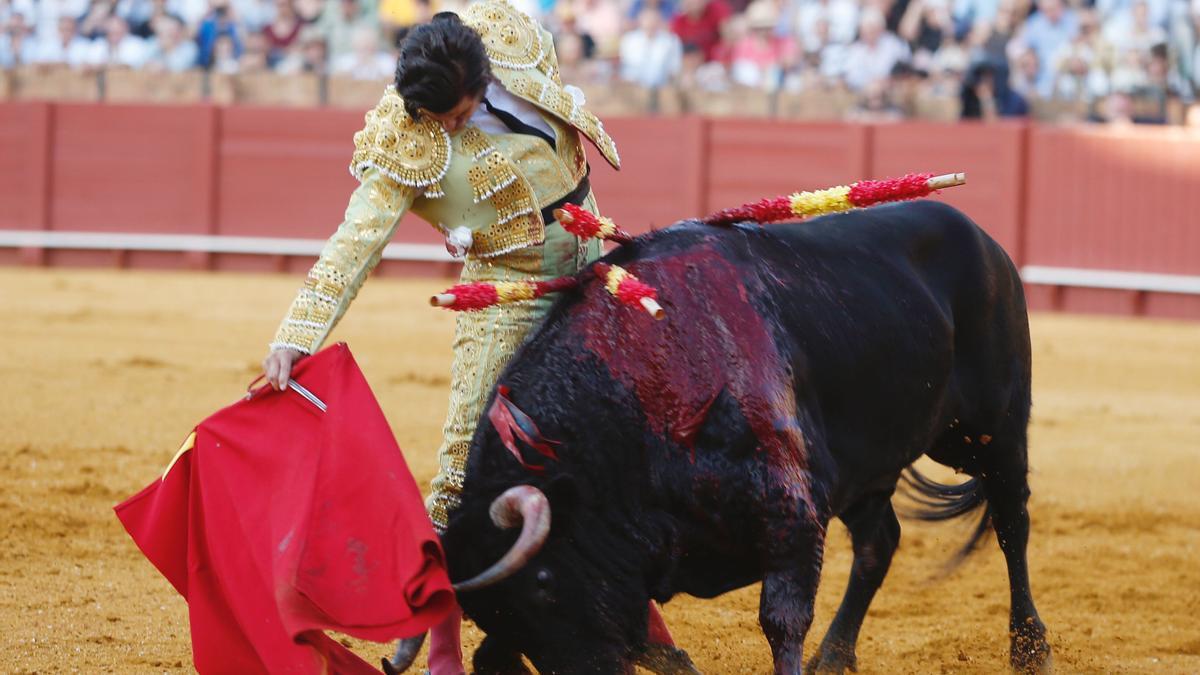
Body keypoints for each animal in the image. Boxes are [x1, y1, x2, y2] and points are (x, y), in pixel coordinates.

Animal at [436, 200, 1046, 672]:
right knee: (880, 542)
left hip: (993, 428)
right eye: (490, 612)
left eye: (543, 582)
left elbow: (781, 620)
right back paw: (834, 656)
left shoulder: (791, 517)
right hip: (868, 464)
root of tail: (983, 238)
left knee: (1011, 520)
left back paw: (1030, 649)